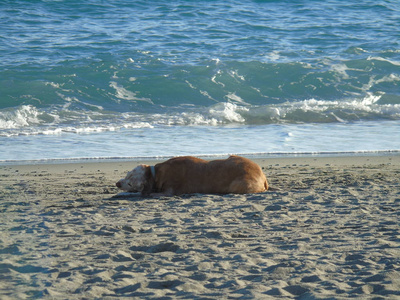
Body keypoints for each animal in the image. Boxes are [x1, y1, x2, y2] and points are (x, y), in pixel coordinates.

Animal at [114, 156, 268, 196]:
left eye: (130, 183)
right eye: (128, 174)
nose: (118, 183)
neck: (155, 174)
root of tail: (263, 176)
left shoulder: (169, 190)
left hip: (240, 183)